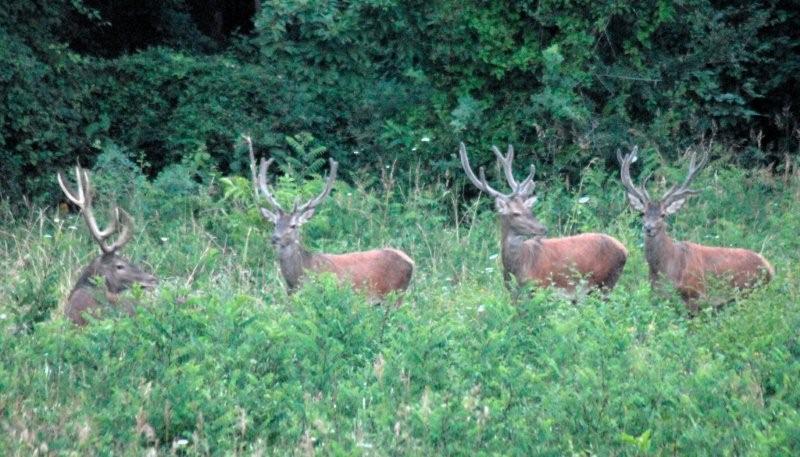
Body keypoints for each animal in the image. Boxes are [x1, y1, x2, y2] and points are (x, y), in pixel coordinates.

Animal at [460, 142, 628, 296]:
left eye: (529, 210)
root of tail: (625, 251)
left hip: (604, 282)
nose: (542, 228)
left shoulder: (542, 287)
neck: (520, 266)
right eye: (516, 213)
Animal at [620, 146, 776, 314]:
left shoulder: (696, 295)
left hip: (749, 290)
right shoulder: (657, 296)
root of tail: (770, 268)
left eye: (663, 215)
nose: (648, 227)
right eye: (643, 213)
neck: (666, 269)